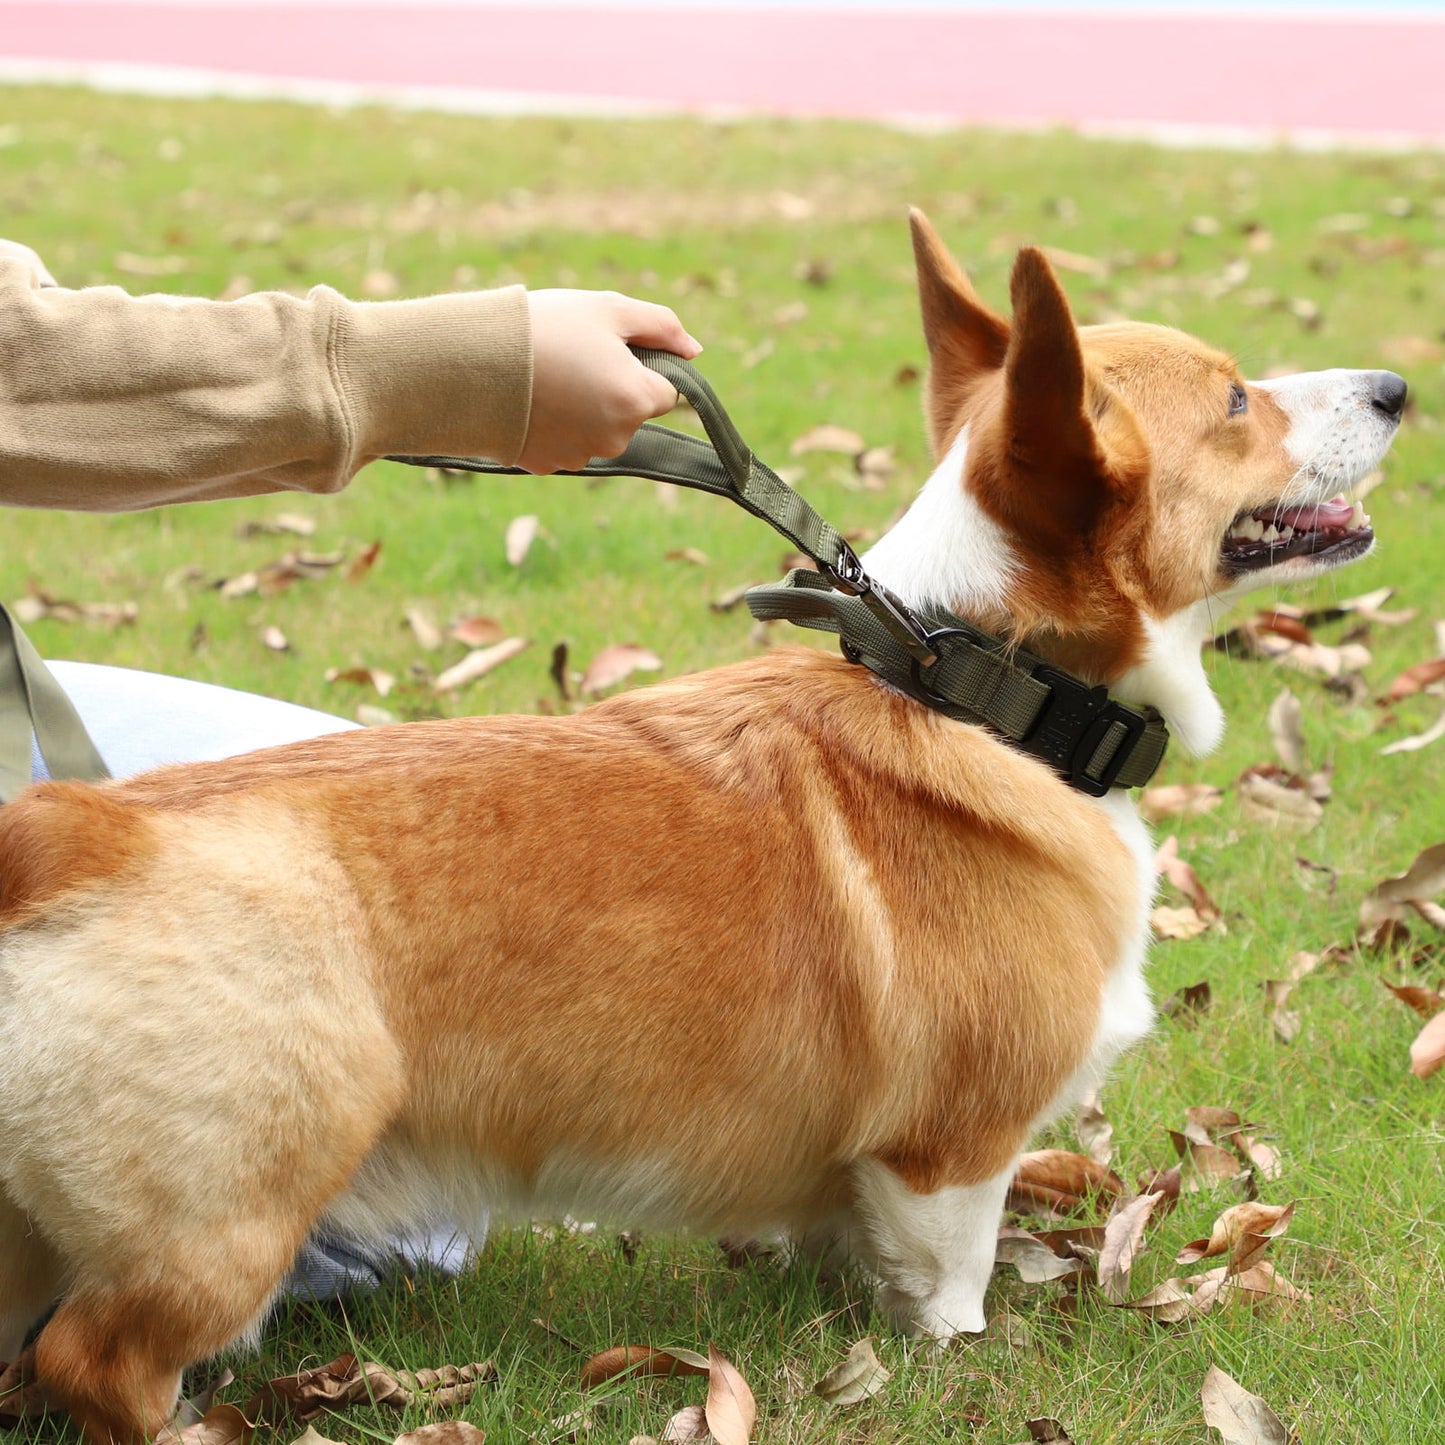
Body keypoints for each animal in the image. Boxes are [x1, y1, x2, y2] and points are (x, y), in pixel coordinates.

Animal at [0, 209, 1398, 1439]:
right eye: (1233, 402)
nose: (1393, 383)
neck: (981, 684)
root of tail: (81, 831)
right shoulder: (949, 1150)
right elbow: (947, 1286)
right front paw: (954, 1354)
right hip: (238, 1205)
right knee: (97, 1360)